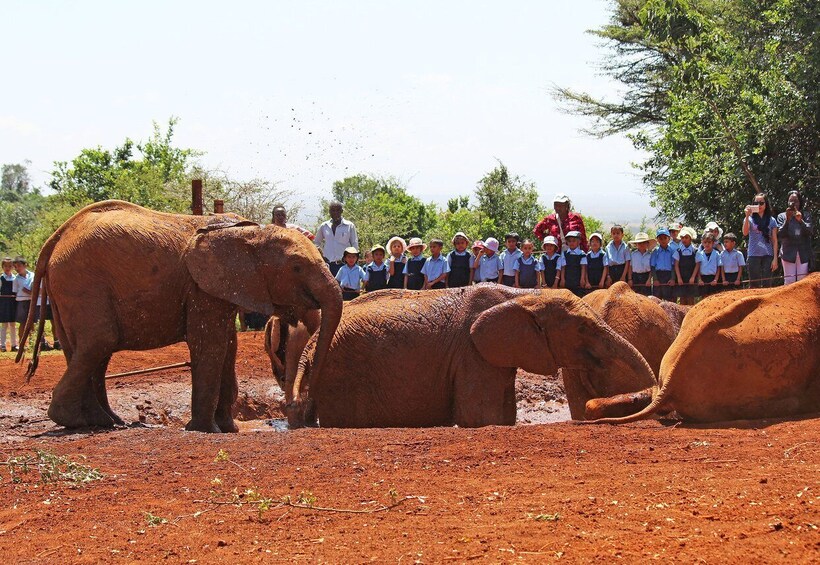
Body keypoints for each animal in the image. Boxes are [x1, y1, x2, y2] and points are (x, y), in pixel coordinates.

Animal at [19, 200, 342, 430]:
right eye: (297, 267)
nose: (302, 413)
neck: (250, 232)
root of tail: (56, 237)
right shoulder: (202, 286)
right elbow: (210, 345)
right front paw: (205, 430)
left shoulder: (219, 288)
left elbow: (228, 346)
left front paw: (228, 428)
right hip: (81, 282)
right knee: (99, 341)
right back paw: (76, 421)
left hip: (68, 288)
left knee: (88, 351)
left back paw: (105, 421)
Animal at [286, 286, 656, 428]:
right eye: (582, 328)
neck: (525, 295)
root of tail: (310, 346)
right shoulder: (471, 355)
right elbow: (481, 418)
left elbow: (502, 417)